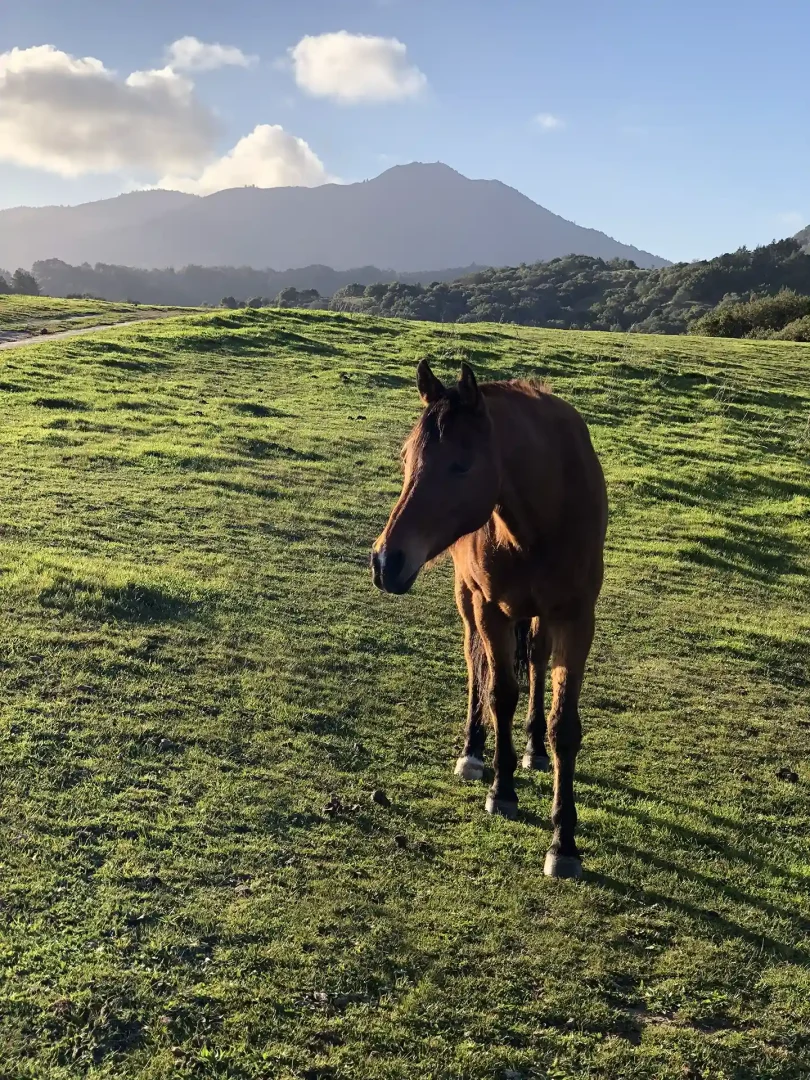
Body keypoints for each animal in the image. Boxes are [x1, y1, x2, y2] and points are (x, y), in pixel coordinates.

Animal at [371, 360, 607, 879]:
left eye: (461, 465)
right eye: (406, 458)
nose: (384, 561)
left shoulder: (577, 618)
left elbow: (564, 725)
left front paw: (564, 843)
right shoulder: (490, 609)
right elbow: (499, 693)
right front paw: (502, 791)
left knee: (535, 663)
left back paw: (533, 749)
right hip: (469, 600)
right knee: (474, 666)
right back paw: (474, 751)